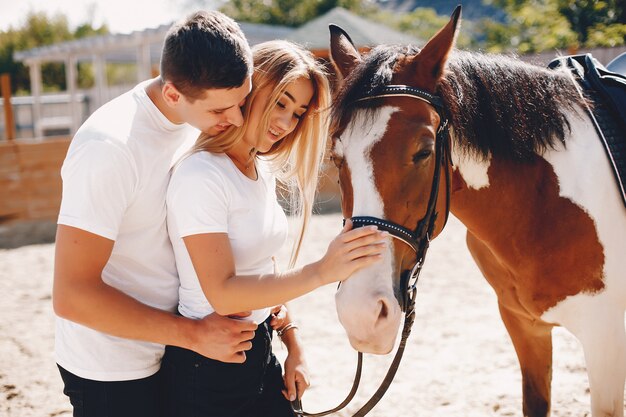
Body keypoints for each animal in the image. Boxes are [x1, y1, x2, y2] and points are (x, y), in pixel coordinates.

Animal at [326, 6, 624, 416]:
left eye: (423, 151)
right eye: (335, 156)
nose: (362, 314)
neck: (541, 205)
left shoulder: (604, 340)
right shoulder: (524, 327)